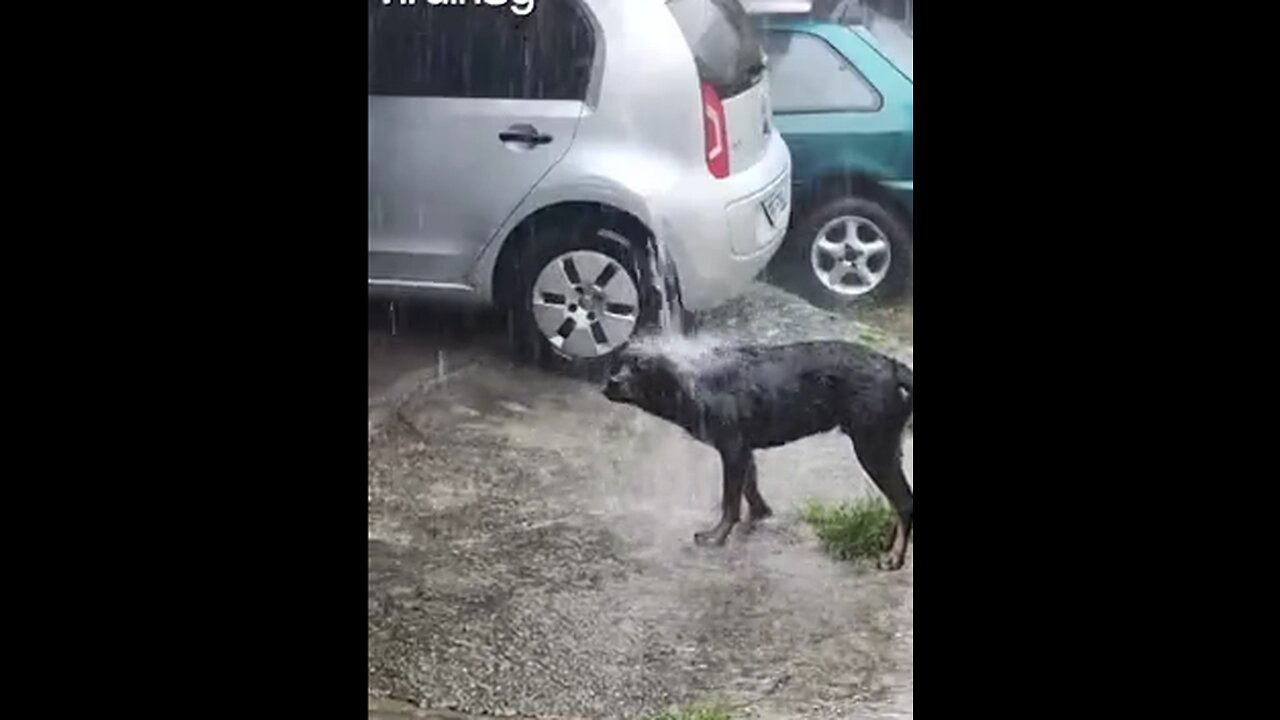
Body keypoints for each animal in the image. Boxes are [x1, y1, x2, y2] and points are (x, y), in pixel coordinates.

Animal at [604, 338, 916, 568]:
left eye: (641, 367)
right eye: (619, 363)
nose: (610, 382)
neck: (694, 383)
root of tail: (893, 367)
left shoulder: (732, 449)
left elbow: (730, 501)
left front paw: (717, 536)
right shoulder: (744, 450)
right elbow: (750, 488)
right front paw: (760, 514)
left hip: (872, 447)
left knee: (904, 502)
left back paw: (895, 557)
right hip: (886, 447)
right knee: (897, 501)